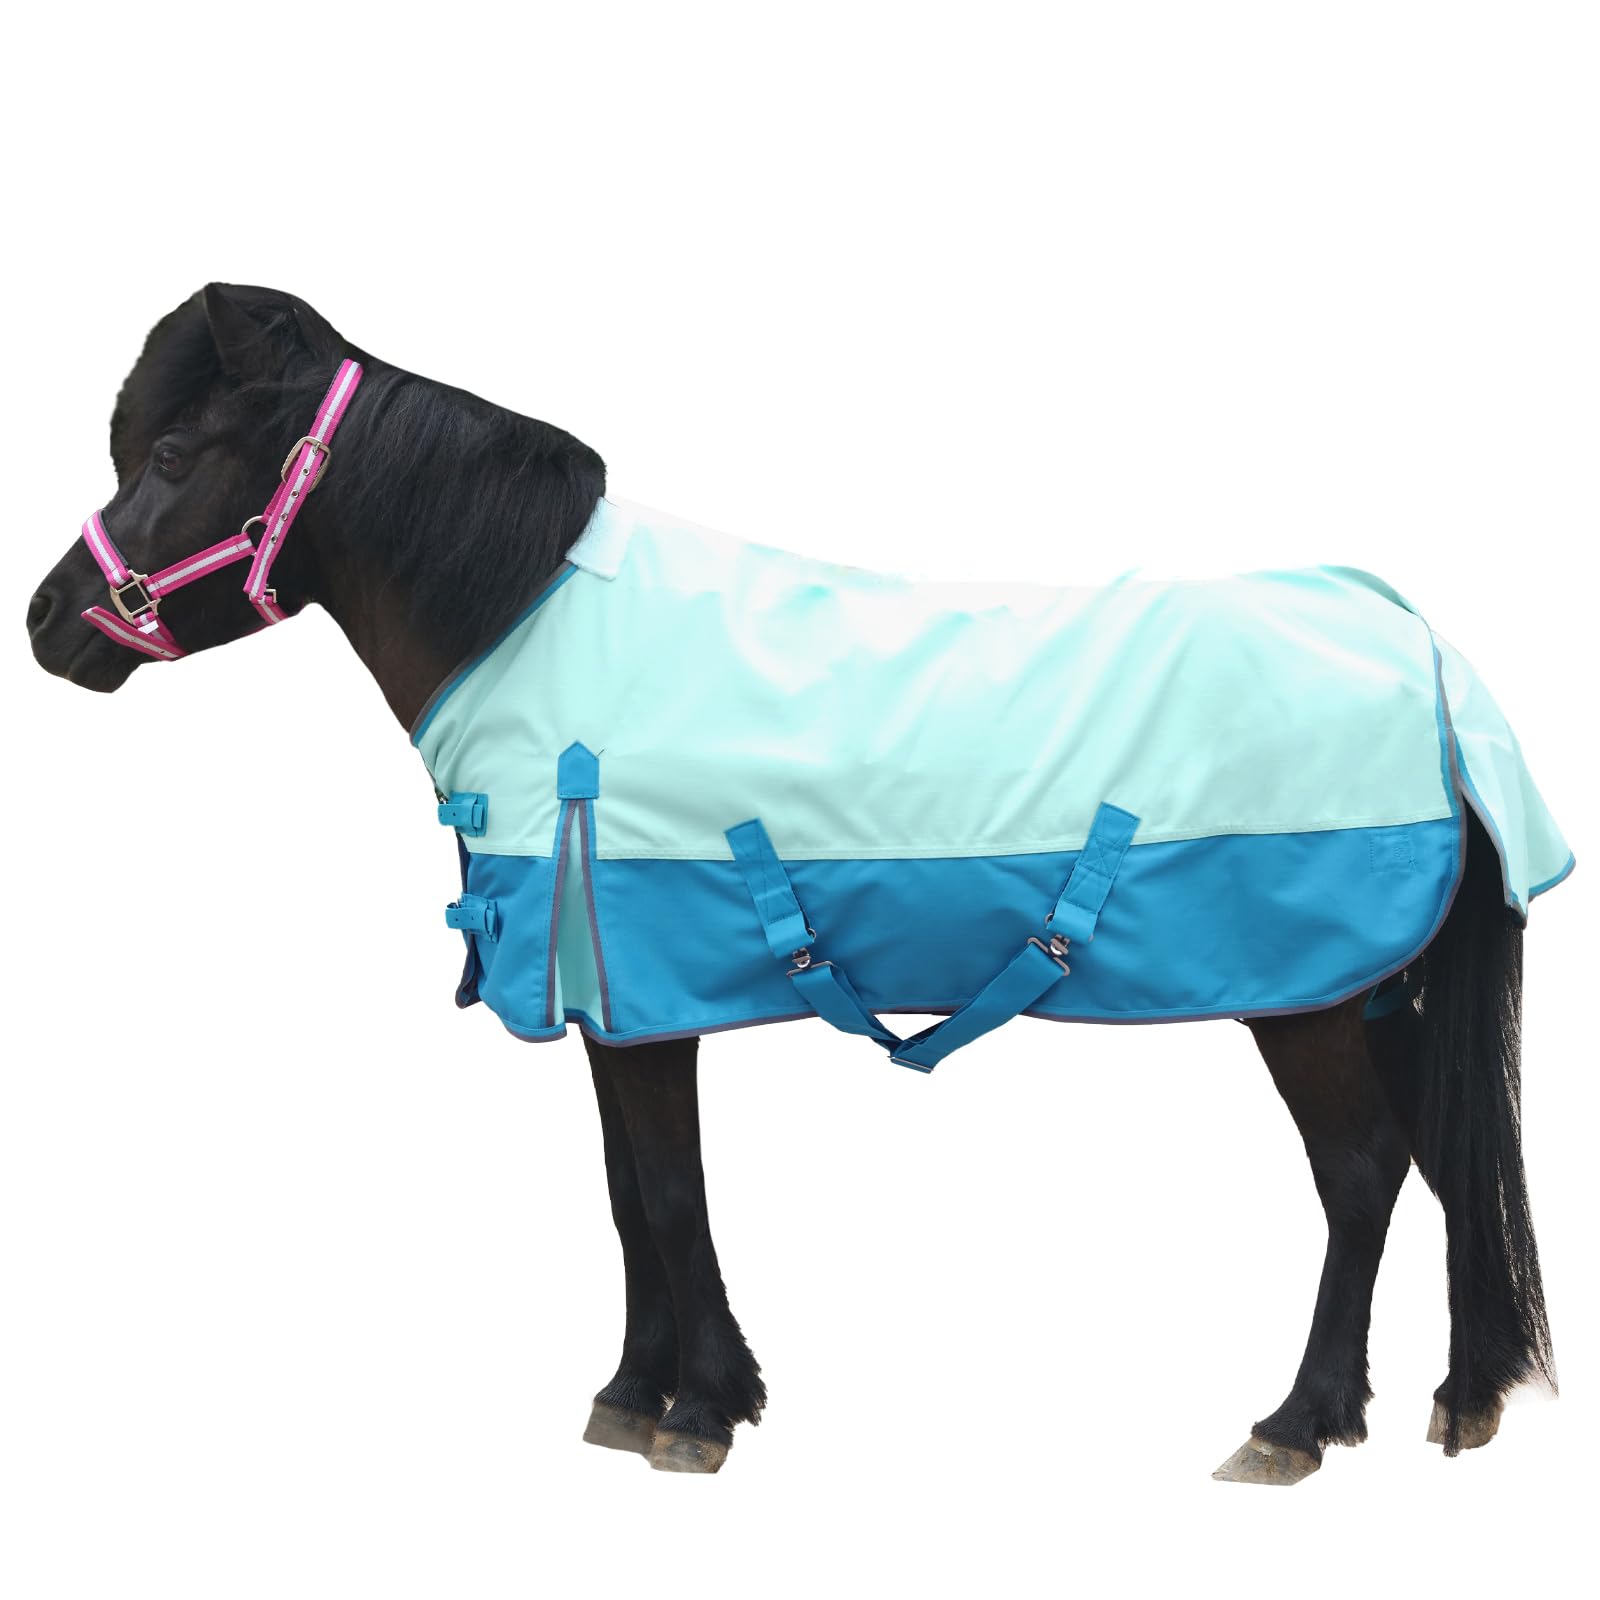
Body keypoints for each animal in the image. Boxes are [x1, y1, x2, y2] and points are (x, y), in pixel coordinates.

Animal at [27, 282, 1563, 1482]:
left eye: (174, 450)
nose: (48, 623)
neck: (530, 626)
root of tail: (1415, 647)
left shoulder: (646, 997)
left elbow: (665, 1190)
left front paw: (697, 1410)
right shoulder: (614, 1002)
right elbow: (625, 1192)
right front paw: (636, 1391)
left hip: (1308, 1003)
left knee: (1360, 1173)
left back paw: (1299, 1423)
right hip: (1375, 993)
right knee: (1441, 1159)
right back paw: (1461, 1398)